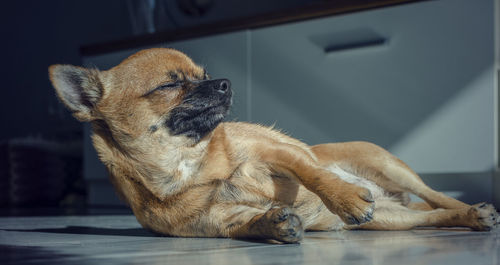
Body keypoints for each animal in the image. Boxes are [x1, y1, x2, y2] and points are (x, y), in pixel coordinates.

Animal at [49, 47, 496, 241]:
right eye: (169, 85)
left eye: (204, 75)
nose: (225, 82)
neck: (190, 165)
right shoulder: (217, 225)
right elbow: (246, 226)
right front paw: (275, 223)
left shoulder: (279, 154)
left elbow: (312, 172)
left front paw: (344, 197)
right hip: (391, 218)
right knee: (432, 216)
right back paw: (470, 218)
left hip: (388, 167)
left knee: (437, 196)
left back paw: (476, 209)